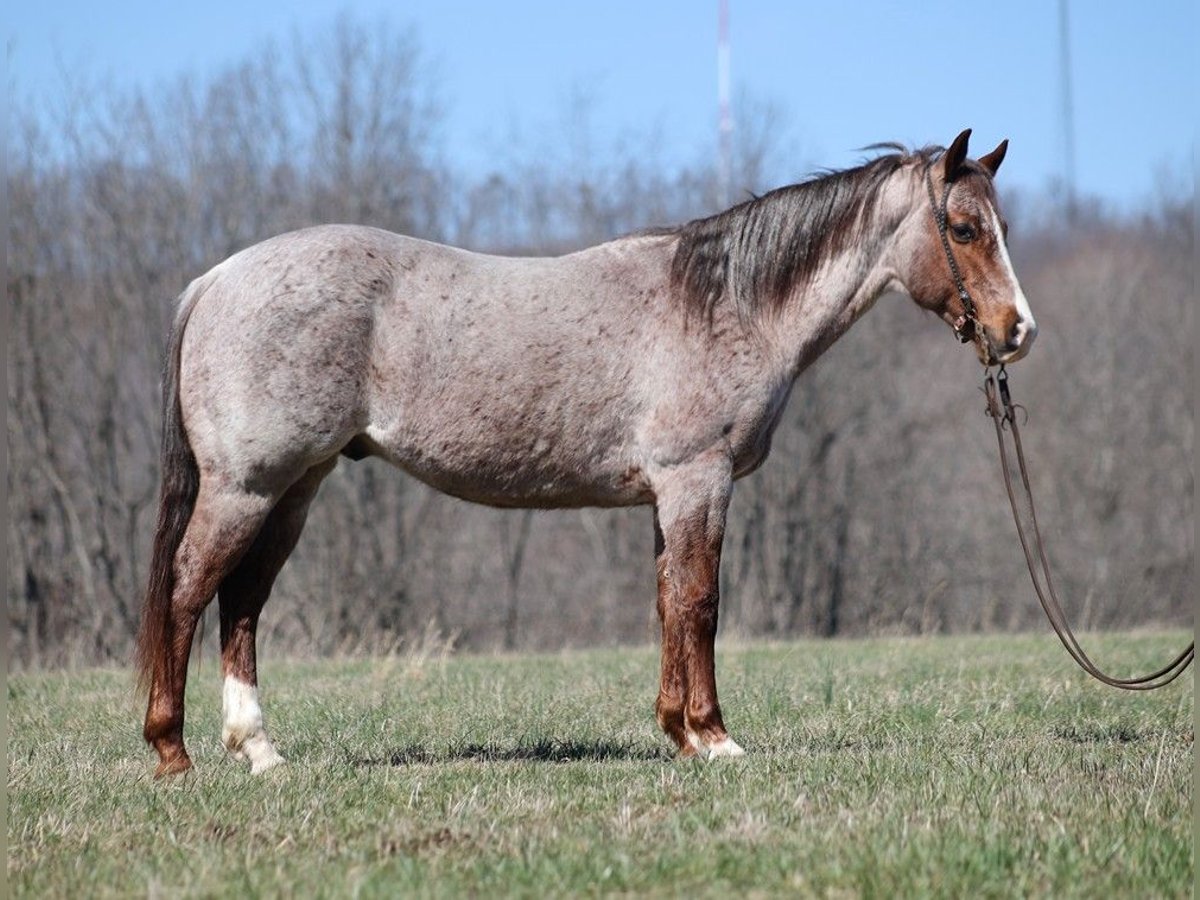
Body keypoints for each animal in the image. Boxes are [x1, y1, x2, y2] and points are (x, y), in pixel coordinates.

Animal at [140, 128, 1036, 782]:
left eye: (999, 228)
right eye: (963, 229)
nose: (1017, 331)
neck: (728, 304)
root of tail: (216, 279)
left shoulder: (665, 498)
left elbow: (669, 602)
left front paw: (678, 733)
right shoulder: (697, 482)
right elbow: (701, 603)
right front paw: (715, 738)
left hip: (296, 486)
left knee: (243, 601)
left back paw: (259, 750)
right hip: (246, 487)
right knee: (188, 591)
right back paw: (172, 750)